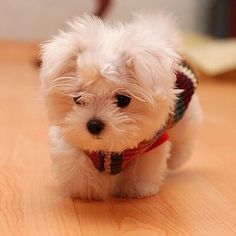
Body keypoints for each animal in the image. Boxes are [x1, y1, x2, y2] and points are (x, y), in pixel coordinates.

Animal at [40, 13, 201, 199]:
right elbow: (75, 159)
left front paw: (136, 188)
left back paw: (175, 159)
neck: (109, 149)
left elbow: (143, 166)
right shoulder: (71, 138)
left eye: (123, 100)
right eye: (78, 98)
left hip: (185, 115)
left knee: (184, 136)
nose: (94, 125)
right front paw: (87, 188)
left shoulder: (152, 143)